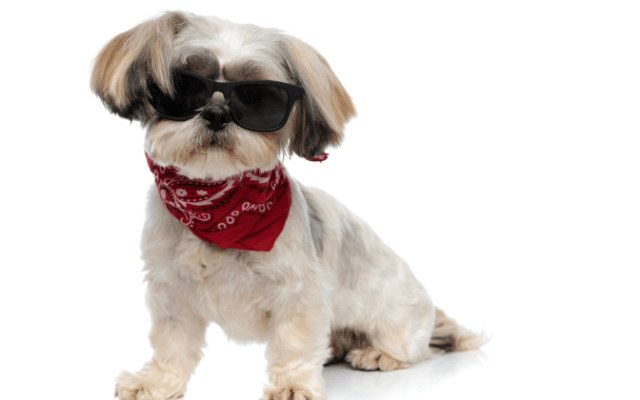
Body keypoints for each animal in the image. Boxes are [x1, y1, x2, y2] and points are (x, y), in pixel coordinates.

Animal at [91, 10, 484, 398]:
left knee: (410, 349)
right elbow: (172, 341)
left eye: (258, 97)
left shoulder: (299, 292)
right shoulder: (172, 288)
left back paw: (378, 353)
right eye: (185, 86)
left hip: (394, 317)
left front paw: (294, 383)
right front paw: (157, 381)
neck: (218, 207)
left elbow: (294, 341)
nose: (217, 114)